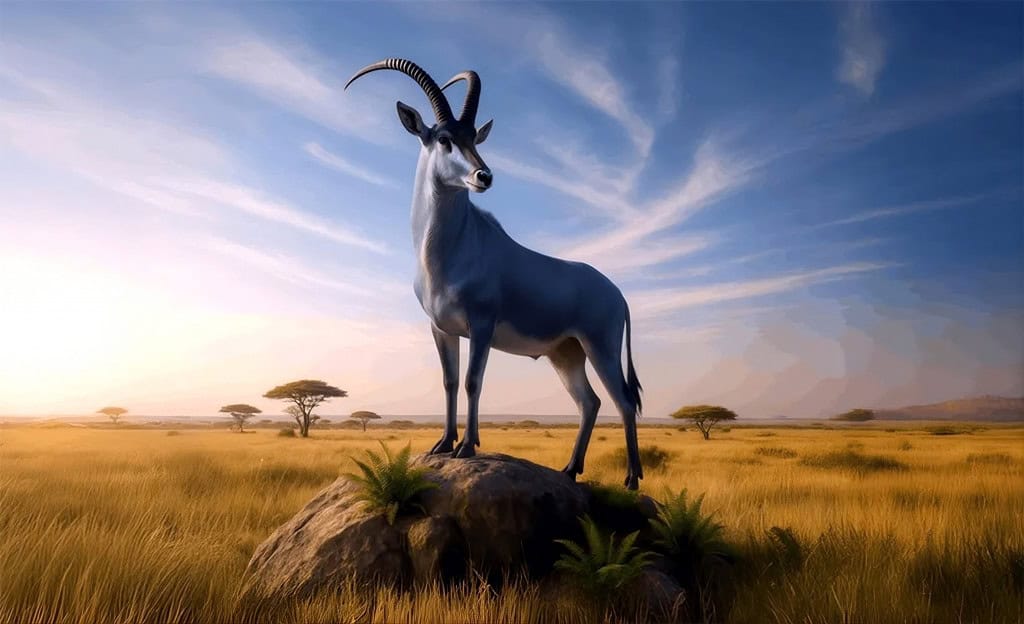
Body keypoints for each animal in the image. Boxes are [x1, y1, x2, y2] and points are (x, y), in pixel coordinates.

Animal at [345, 59, 644, 489]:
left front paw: (467, 447)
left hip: (599, 346)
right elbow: (450, 381)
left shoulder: (481, 326)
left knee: (622, 400)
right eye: (443, 138)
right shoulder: (442, 328)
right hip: (566, 353)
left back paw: (632, 479)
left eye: (474, 138)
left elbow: (474, 381)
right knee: (590, 401)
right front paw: (444, 444)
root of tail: (618, 293)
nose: (483, 176)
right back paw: (569, 470)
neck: (449, 251)